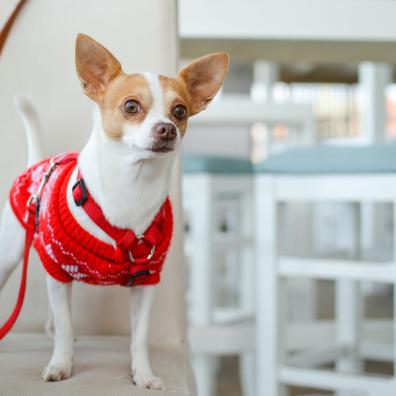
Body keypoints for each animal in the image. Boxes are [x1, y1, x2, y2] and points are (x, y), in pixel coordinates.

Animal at [0, 32, 229, 388]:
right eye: (131, 106)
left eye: (180, 111)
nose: (167, 128)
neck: (131, 187)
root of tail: (37, 164)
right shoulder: (59, 270)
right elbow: (65, 324)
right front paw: (61, 363)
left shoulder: (145, 282)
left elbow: (139, 336)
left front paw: (143, 374)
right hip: (12, 256)